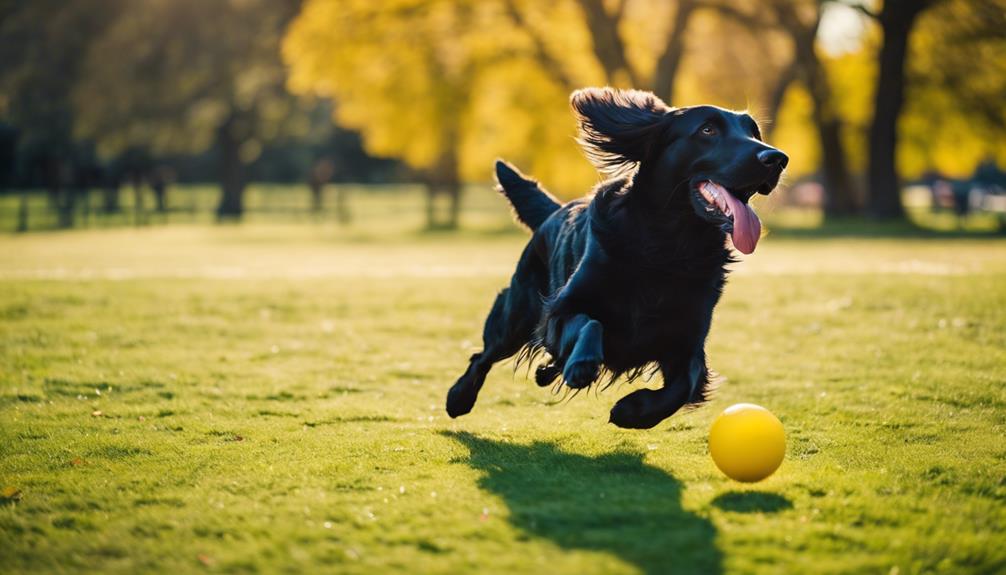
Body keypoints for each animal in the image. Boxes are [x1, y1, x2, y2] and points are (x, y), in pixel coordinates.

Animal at [446, 85, 784, 426]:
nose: (778, 158)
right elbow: (590, 323)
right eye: (708, 130)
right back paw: (459, 397)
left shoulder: (688, 338)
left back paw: (546, 373)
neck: (668, 248)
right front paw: (582, 364)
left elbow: (686, 383)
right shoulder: (559, 310)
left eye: (753, 131)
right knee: (483, 355)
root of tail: (554, 212)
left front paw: (634, 411)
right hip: (516, 314)